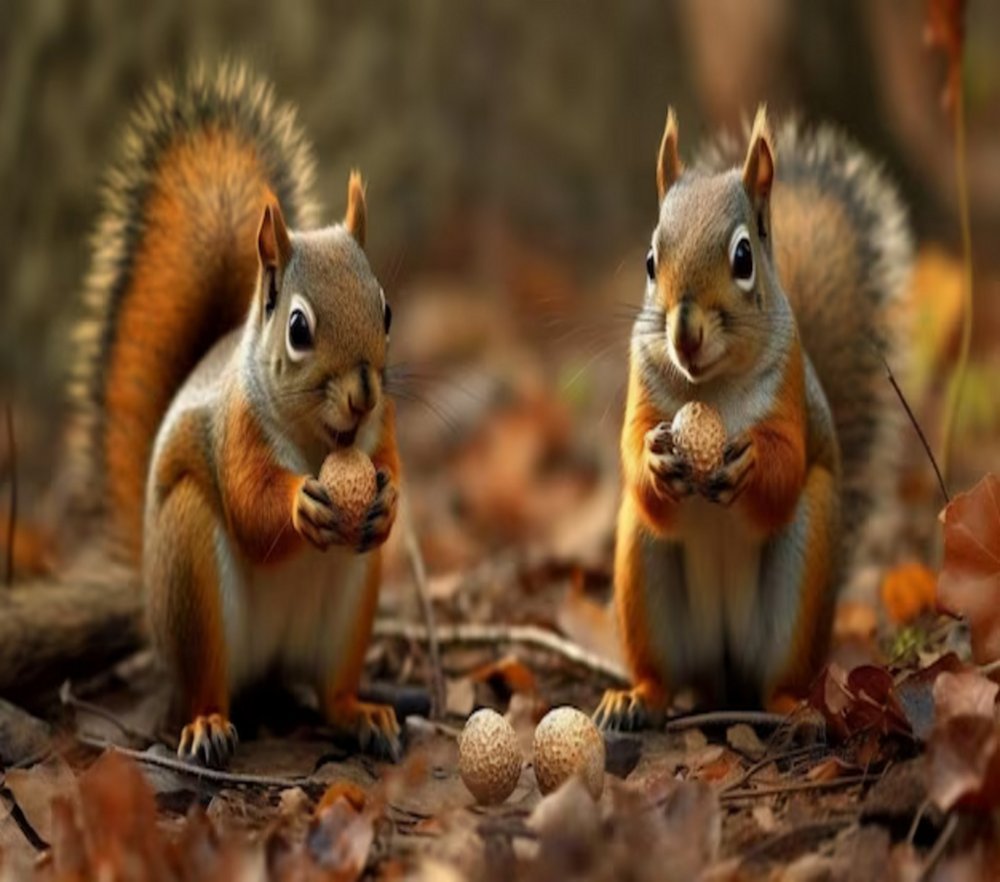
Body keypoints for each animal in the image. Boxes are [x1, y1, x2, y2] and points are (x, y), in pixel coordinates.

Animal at [62, 64, 401, 764]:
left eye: (385, 309)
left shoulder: (379, 430)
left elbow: (388, 466)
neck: (319, 441)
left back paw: (359, 713)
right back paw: (208, 725)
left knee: (330, 689)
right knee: (206, 681)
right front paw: (301, 505)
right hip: (190, 574)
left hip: (349, 610)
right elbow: (250, 506)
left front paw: (386, 503)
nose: (363, 394)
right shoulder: (236, 429)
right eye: (298, 328)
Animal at [594, 106, 911, 730]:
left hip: (803, 568)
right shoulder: (642, 389)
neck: (710, 388)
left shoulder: (788, 392)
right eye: (649, 260)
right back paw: (634, 699)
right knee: (664, 676)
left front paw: (752, 462)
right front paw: (654, 458)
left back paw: (795, 709)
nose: (684, 332)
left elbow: (784, 469)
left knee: (775, 681)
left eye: (743, 258)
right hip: (642, 565)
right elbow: (631, 449)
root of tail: (723, 673)